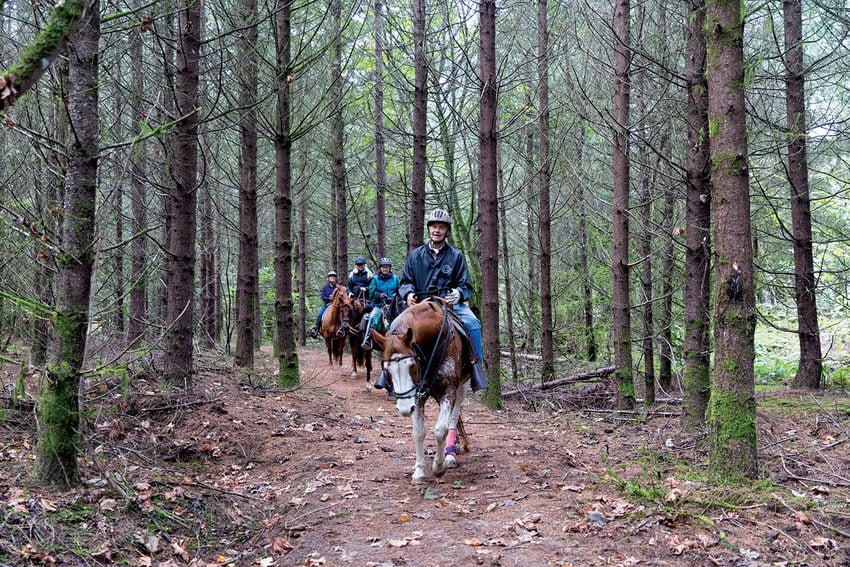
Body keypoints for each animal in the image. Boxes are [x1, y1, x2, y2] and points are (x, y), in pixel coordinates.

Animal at [370, 298, 468, 484]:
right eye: (387, 370)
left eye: (412, 365)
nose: (404, 409)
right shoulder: (416, 396)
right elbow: (418, 432)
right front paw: (419, 471)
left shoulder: (449, 390)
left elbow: (441, 429)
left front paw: (438, 467)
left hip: (460, 388)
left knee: (454, 418)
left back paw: (450, 454)